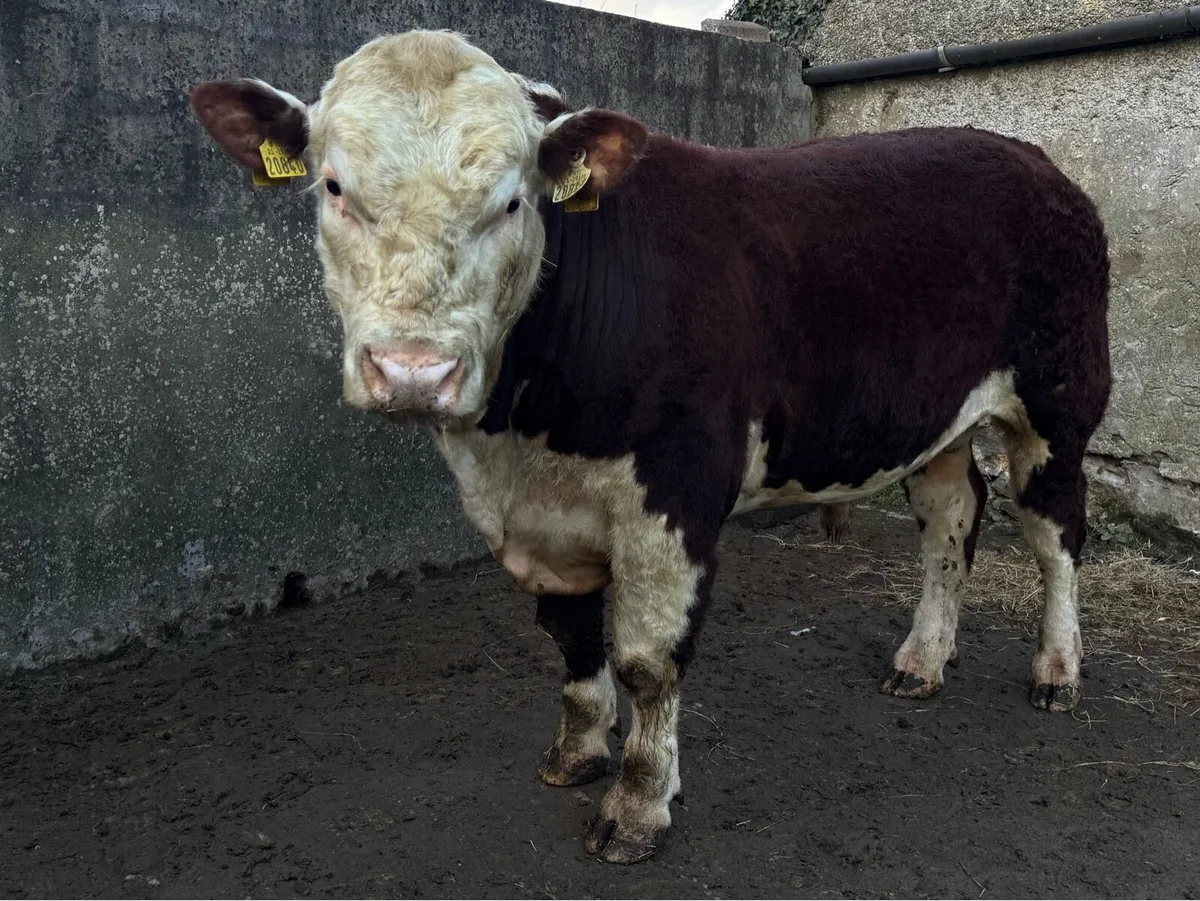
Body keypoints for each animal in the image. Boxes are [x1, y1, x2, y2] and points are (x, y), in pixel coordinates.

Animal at [189, 30, 1111, 864]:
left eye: (513, 201)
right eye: (334, 186)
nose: (416, 371)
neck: (520, 440)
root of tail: (1035, 160)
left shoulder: (676, 489)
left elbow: (645, 660)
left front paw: (637, 805)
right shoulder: (543, 516)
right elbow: (571, 636)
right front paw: (576, 752)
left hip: (1059, 402)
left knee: (1056, 534)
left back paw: (1058, 670)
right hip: (932, 420)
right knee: (953, 518)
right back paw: (922, 659)